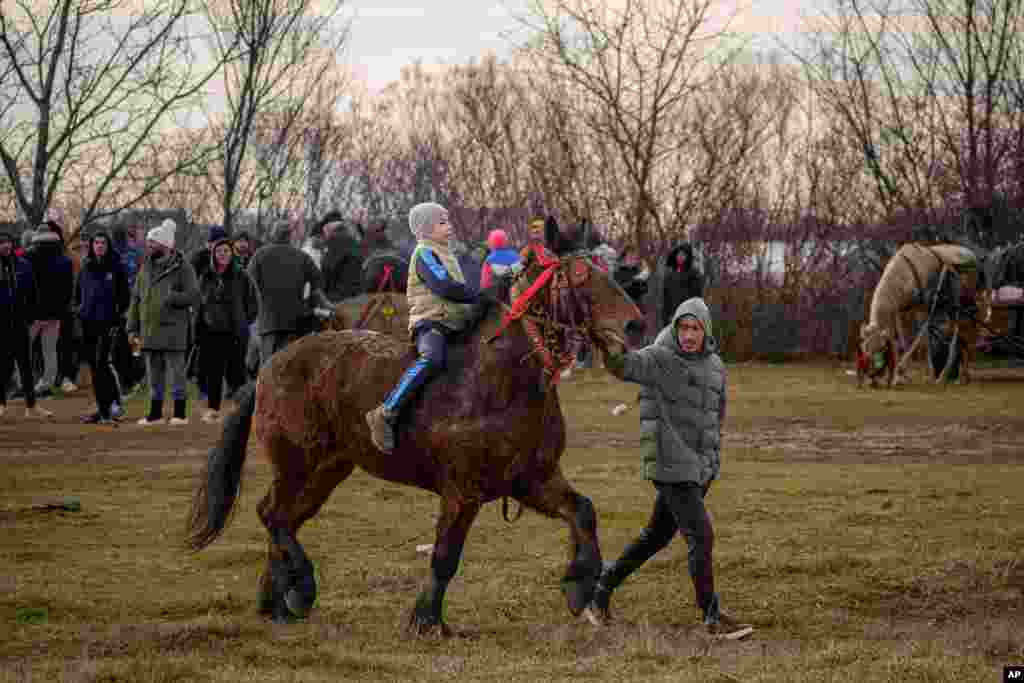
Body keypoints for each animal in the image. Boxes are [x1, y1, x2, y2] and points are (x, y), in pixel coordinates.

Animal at [188, 227, 643, 634]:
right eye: (581, 274)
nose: (635, 325)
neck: (504, 377)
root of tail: (271, 365)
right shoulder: (463, 492)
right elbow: (445, 556)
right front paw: (427, 619)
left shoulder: (533, 479)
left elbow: (582, 510)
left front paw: (580, 585)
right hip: (296, 465)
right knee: (272, 515)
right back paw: (301, 589)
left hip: (325, 472)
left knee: (284, 520)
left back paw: (278, 601)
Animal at [860, 244, 987, 385]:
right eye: (864, 348)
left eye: (882, 348)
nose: (872, 378)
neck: (903, 276)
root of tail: (973, 256)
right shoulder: (900, 310)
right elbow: (901, 338)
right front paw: (900, 377)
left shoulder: (924, 307)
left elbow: (923, 337)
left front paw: (904, 372)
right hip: (962, 304)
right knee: (966, 332)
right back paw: (963, 377)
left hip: (958, 303)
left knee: (958, 331)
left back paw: (943, 377)